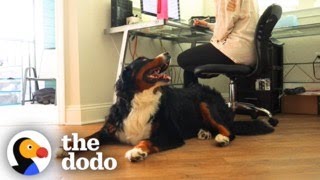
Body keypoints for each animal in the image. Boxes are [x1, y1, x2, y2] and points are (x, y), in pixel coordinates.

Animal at [56, 51, 274, 162]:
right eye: (143, 59)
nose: (167, 53)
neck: (141, 100)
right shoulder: (108, 129)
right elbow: (86, 139)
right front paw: (66, 148)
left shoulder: (170, 134)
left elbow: (146, 141)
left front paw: (137, 151)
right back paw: (204, 132)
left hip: (206, 103)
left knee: (229, 130)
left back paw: (221, 138)